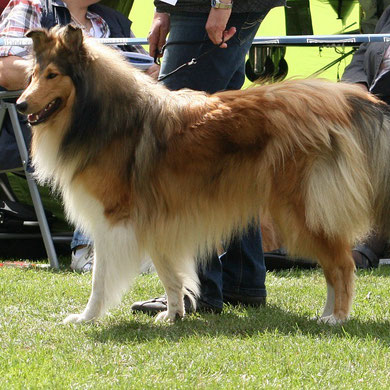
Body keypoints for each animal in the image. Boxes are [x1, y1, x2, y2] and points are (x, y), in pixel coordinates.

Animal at [17, 25, 390, 324]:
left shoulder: (114, 220)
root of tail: (342, 99)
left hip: (300, 211)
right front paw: (172, 314)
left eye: (53, 75)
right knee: (332, 267)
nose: (20, 105)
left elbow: (100, 280)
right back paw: (325, 314)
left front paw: (86, 318)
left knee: (342, 265)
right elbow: (170, 274)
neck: (100, 115)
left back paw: (336, 318)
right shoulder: (154, 220)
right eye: (32, 75)